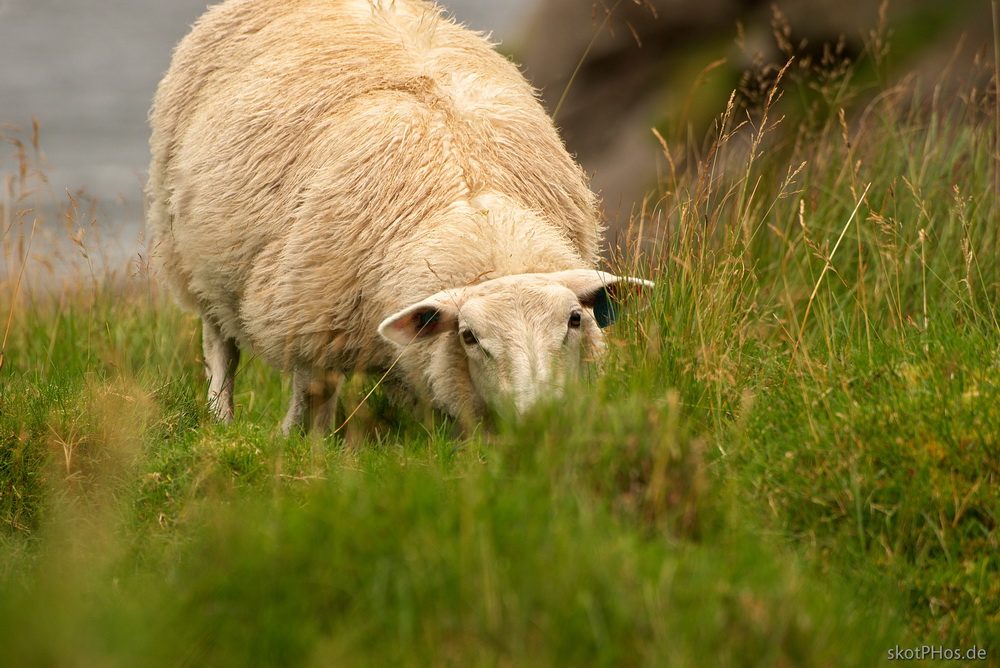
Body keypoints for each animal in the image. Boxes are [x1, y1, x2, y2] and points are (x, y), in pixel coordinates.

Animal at [145, 0, 652, 430]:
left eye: (575, 321)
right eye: (469, 336)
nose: (539, 416)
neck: (483, 222)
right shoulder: (309, 315)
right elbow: (311, 393)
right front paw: (298, 444)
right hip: (193, 256)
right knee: (220, 345)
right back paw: (221, 420)